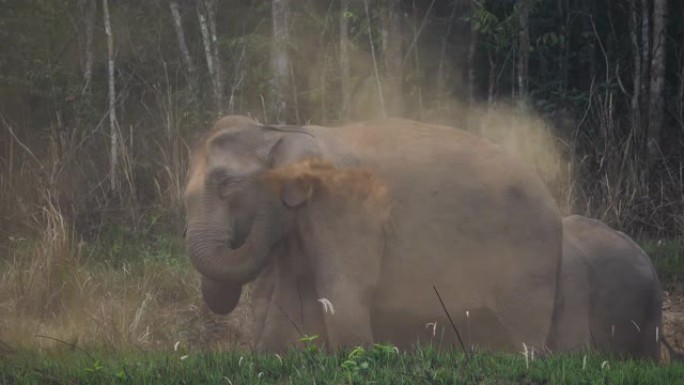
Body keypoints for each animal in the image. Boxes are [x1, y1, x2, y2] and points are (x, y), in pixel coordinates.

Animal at [183, 115, 560, 352]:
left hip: (528, 263)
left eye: (225, 184)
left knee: (523, 335)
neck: (285, 132)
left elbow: (345, 289)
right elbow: (295, 298)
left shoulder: (347, 208)